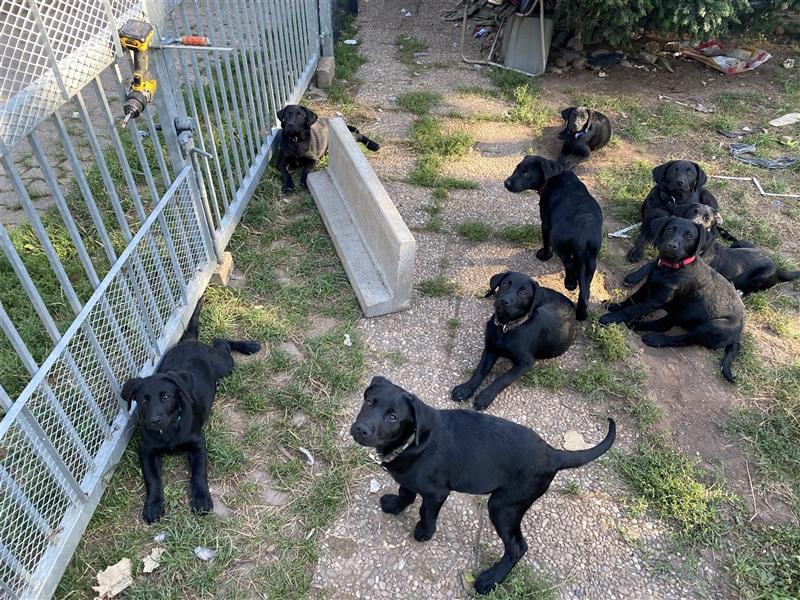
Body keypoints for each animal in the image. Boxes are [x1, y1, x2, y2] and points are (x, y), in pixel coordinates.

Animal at [120, 298, 260, 520]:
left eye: (166, 396)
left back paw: (250, 346)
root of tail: (189, 341)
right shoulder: (146, 451)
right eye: (143, 401)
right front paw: (153, 505)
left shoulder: (198, 444)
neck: (169, 430)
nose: (155, 420)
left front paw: (201, 499)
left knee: (221, 342)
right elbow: (153, 480)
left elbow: (198, 474)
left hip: (224, 366)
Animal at [348, 378, 612, 596]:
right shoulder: (409, 478)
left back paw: (490, 580)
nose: (361, 429)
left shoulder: (437, 493)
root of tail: (553, 454)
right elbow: (406, 492)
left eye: (392, 417)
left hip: (503, 506)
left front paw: (424, 532)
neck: (413, 441)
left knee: (518, 547)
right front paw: (395, 506)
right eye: (369, 402)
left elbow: (427, 512)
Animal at [450, 274, 576, 410]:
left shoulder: (525, 363)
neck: (506, 327)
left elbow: (503, 378)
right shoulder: (490, 349)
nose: (504, 301)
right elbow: (480, 370)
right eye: (505, 284)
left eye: (523, 293)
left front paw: (485, 396)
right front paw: (465, 389)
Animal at [506, 157, 600, 322]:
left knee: (569, 264)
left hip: (558, 241)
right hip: (591, 260)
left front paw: (544, 255)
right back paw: (581, 313)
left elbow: (546, 242)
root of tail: (583, 235)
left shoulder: (546, 223)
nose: (506, 183)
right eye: (517, 168)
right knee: (585, 291)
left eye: (526, 173)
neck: (557, 174)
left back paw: (570, 283)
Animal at [604, 218, 748, 382]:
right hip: (683, 313)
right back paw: (637, 325)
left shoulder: (657, 299)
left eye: (689, 236)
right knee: (664, 324)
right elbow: (631, 300)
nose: (672, 246)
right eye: (670, 229)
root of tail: (738, 335)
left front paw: (610, 318)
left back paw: (655, 339)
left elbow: (632, 309)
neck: (669, 268)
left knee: (684, 338)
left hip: (713, 325)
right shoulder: (647, 286)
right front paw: (615, 305)